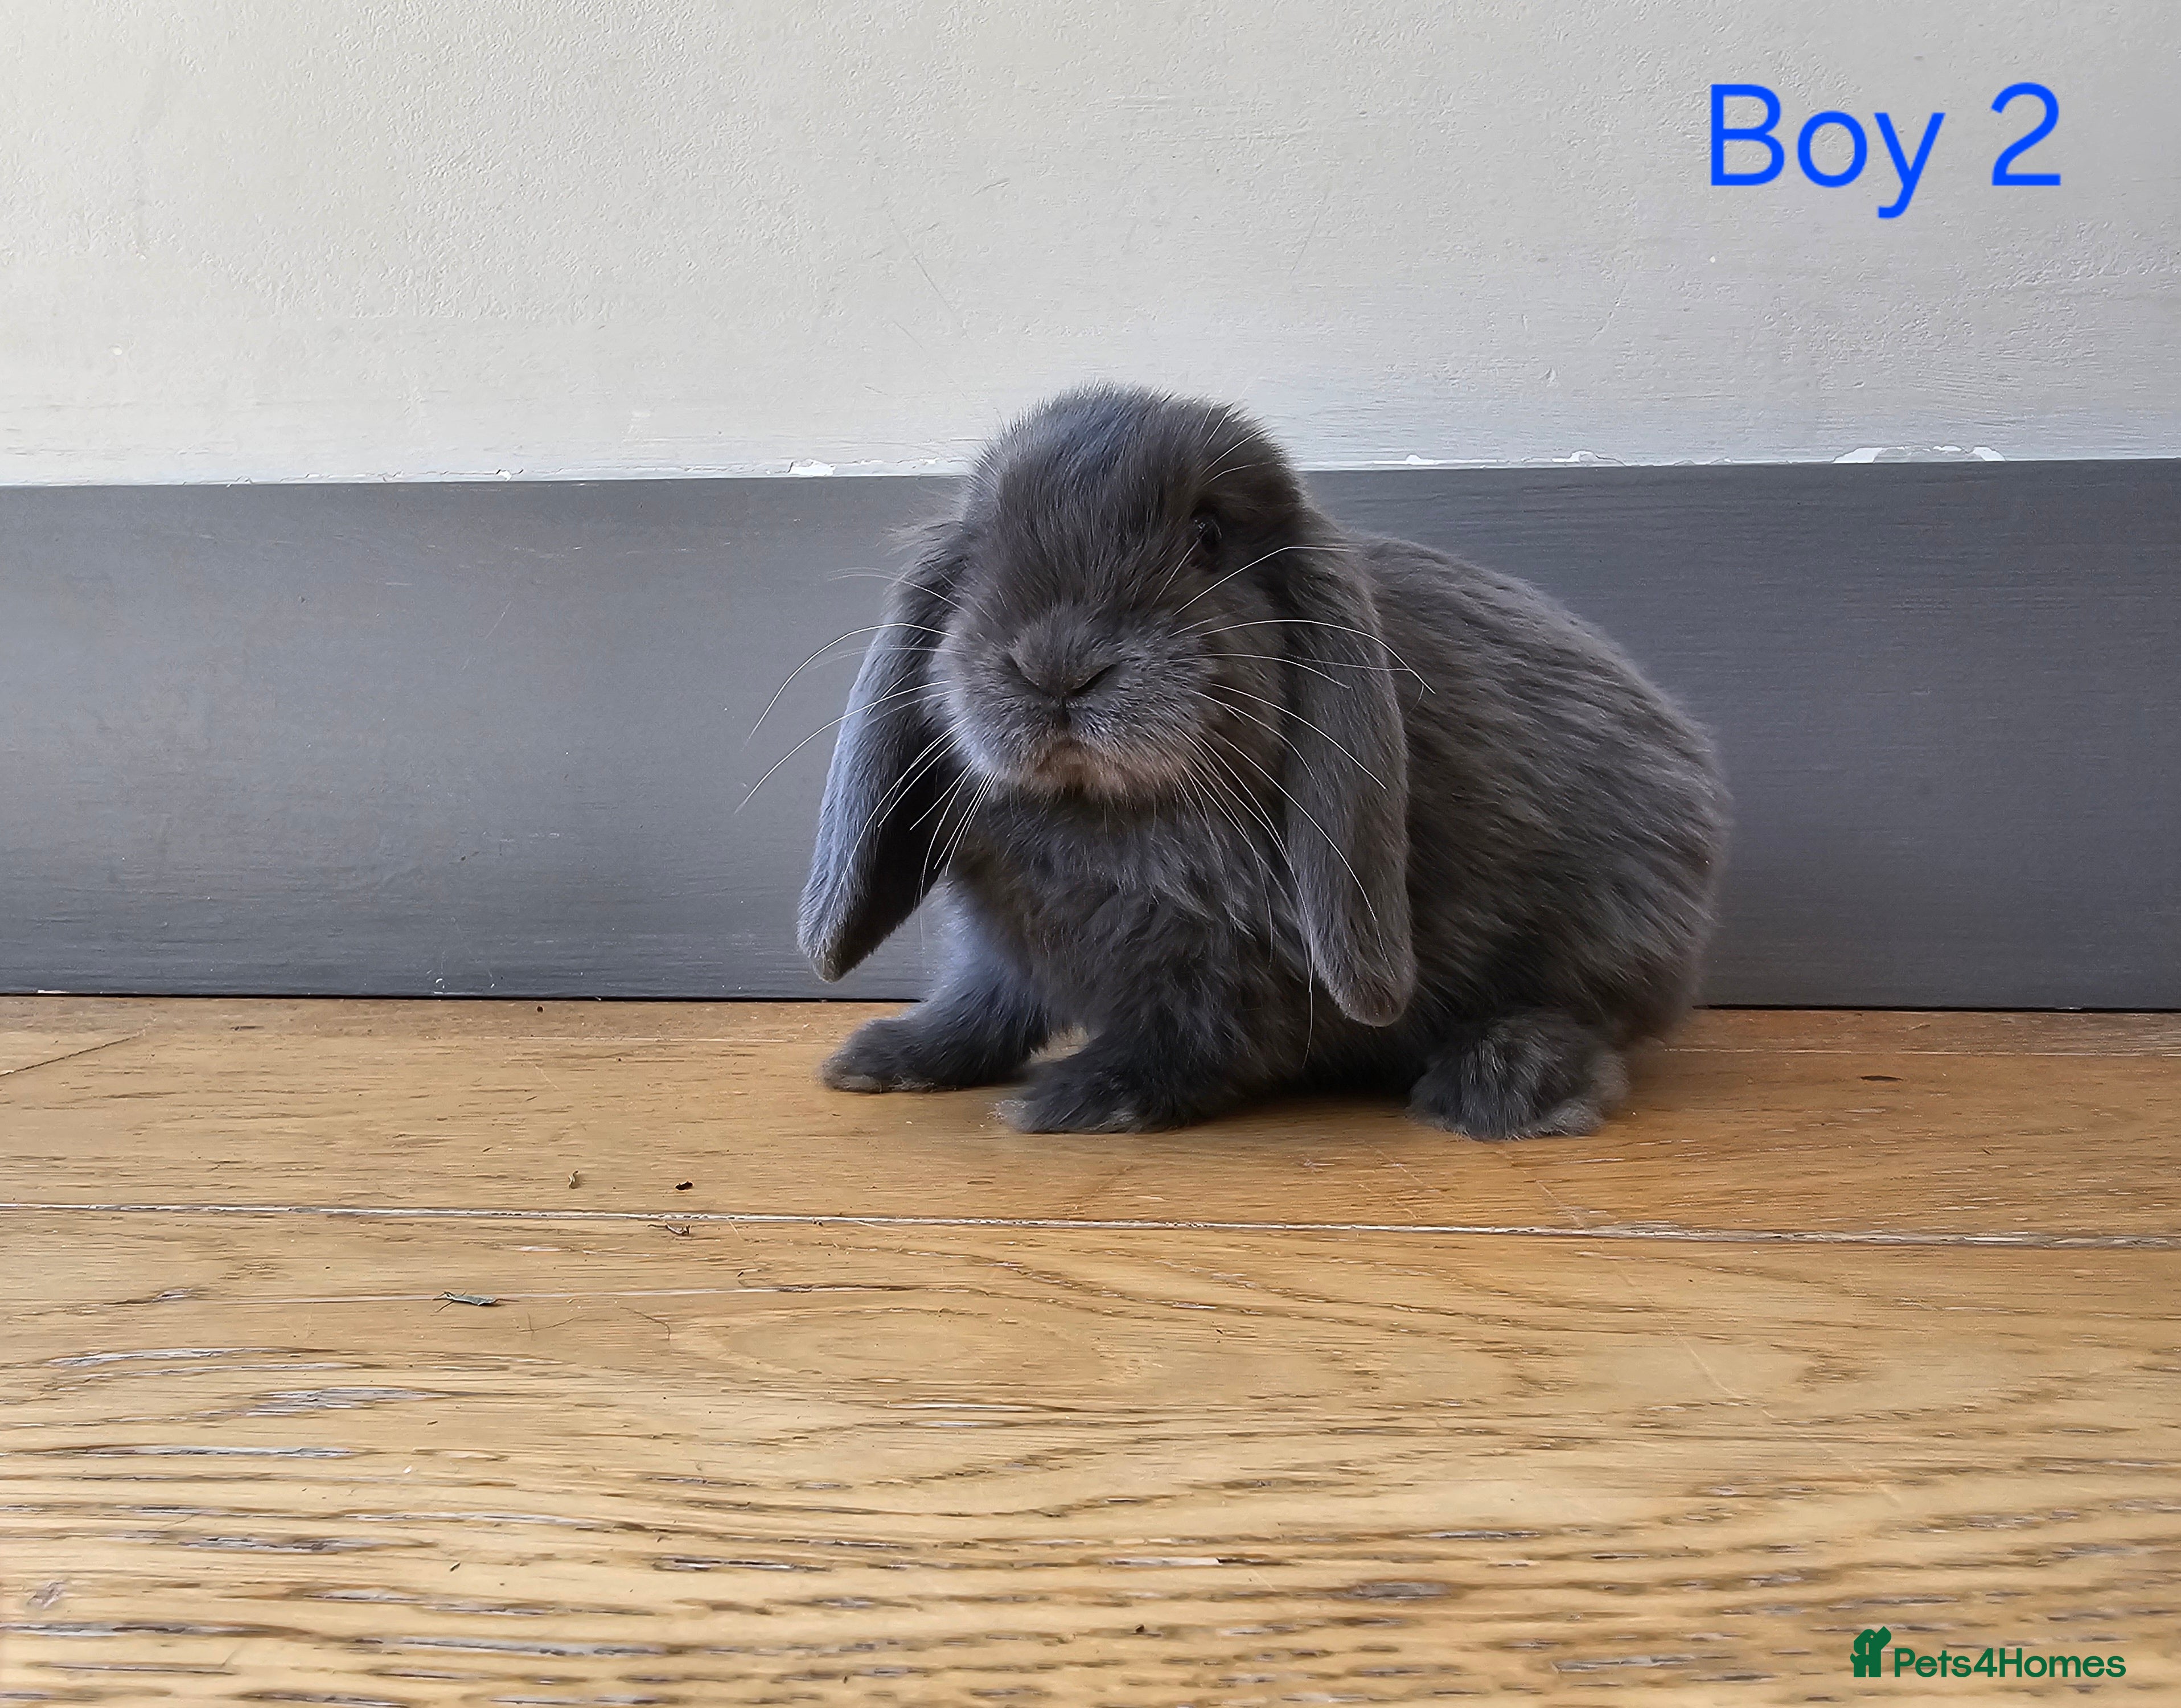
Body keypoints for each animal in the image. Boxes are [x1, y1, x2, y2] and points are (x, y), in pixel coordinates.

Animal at [797, 385, 1729, 1137]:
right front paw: (884, 1057)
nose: (1058, 667)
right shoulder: (1003, 945)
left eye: (1207, 536)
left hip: (1606, 925)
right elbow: (980, 1005)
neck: (1106, 814)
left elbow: (1194, 1041)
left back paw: (1498, 1087)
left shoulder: (1239, 969)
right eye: (985, 541)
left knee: (1590, 1023)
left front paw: (1075, 1098)